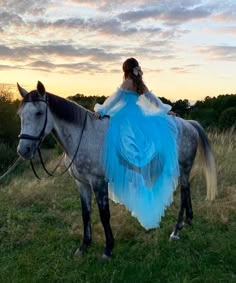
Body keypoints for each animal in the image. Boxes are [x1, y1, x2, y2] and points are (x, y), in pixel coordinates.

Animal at [17, 81, 218, 260]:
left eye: (39, 113)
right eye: (20, 114)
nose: (23, 150)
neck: (85, 136)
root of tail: (188, 124)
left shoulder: (98, 182)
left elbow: (104, 215)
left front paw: (108, 250)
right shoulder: (81, 183)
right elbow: (85, 214)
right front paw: (83, 247)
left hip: (182, 168)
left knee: (183, 194)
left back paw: (176, 231)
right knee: (187, 191)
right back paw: (187, 221)